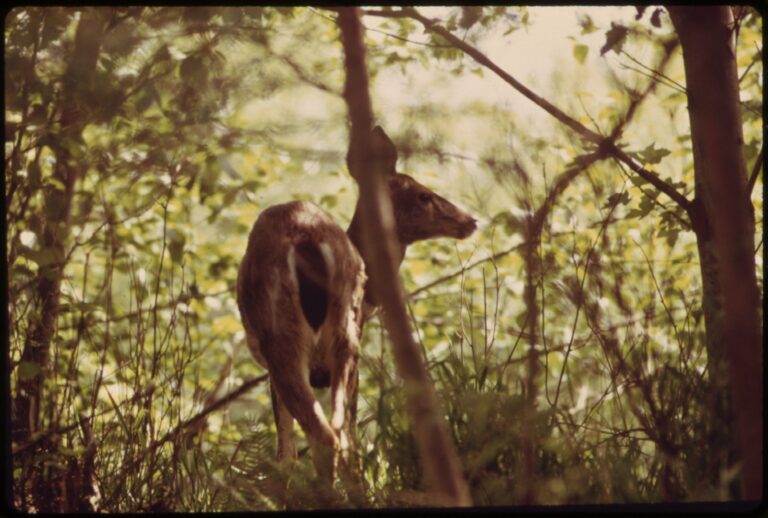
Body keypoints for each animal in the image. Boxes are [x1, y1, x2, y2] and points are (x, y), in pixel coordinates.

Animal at [236, 126, 477, 481]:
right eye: (423, 195)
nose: (470, 220)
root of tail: (306, 237)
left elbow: (286, 451)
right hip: (338, 335)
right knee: (337, 433)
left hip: (286, 339)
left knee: (328, 435)